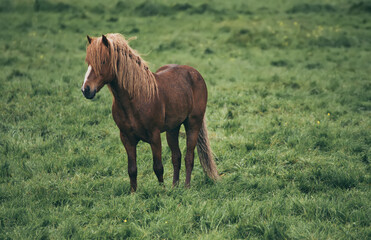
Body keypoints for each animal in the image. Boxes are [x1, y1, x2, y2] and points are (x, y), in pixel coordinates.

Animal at [80, 33, 218, 191]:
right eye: (88, 62)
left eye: (102, 61)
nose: (86, 90)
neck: (135, 99)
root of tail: (194, 73)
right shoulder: (126, 138)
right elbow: (132, 169)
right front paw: (133, 193)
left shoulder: (154, 136)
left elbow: (158, 167)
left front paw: (162, 192)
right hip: (173, 129)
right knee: (176, 157)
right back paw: (175, 187)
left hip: (193, 124)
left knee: (189, 156)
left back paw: (186, 187)